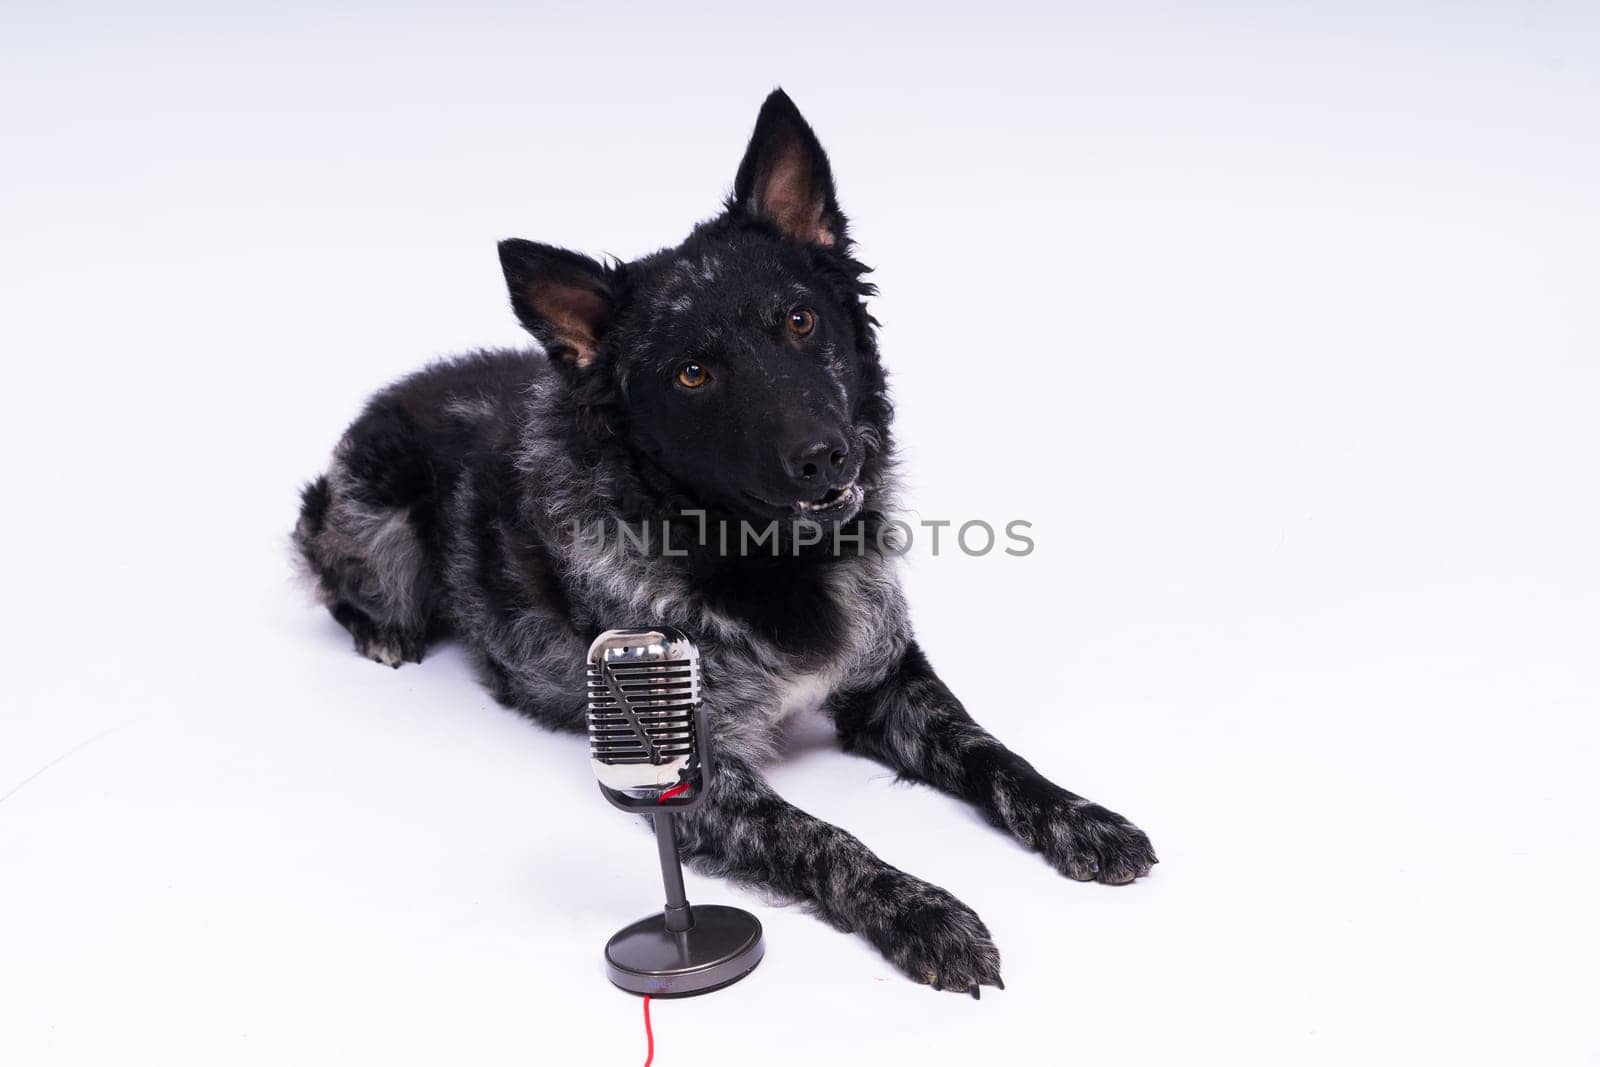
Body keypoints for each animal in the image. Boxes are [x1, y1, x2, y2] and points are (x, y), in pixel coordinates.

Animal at [297, 87, 1152, 998]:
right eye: (693, 374)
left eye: (801, 320)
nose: (825, 455)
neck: (771, 558)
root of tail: (406, 384)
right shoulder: (698, 775)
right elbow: (828, 839)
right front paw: (927, 913)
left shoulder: (890, 680)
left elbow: (993, 753)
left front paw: (1080, 817)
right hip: (380, 526)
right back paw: (382, 631)